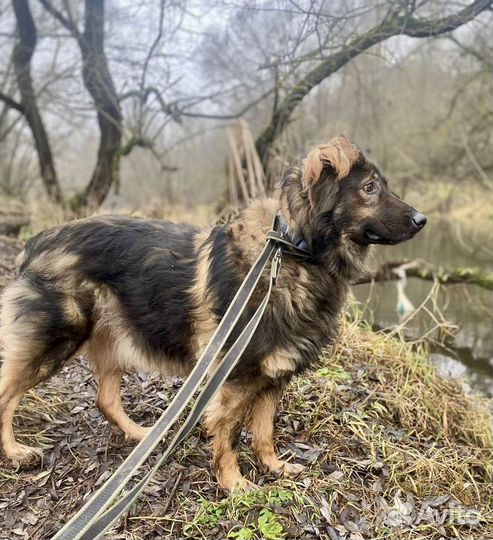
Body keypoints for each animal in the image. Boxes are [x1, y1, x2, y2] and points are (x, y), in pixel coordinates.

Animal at [0, 135, 424, 490]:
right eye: (370, 188)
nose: (422, 220)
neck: (293, 252)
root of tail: (36, 243)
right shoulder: (235, 377)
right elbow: (229, 433)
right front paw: (234, 484)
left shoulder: (272, 375)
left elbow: (264, 430)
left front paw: (274, 466)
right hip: (56, 339)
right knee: (7, 394)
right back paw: (16, 452)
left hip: (115, 339)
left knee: (105, 398)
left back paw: (140, 436)